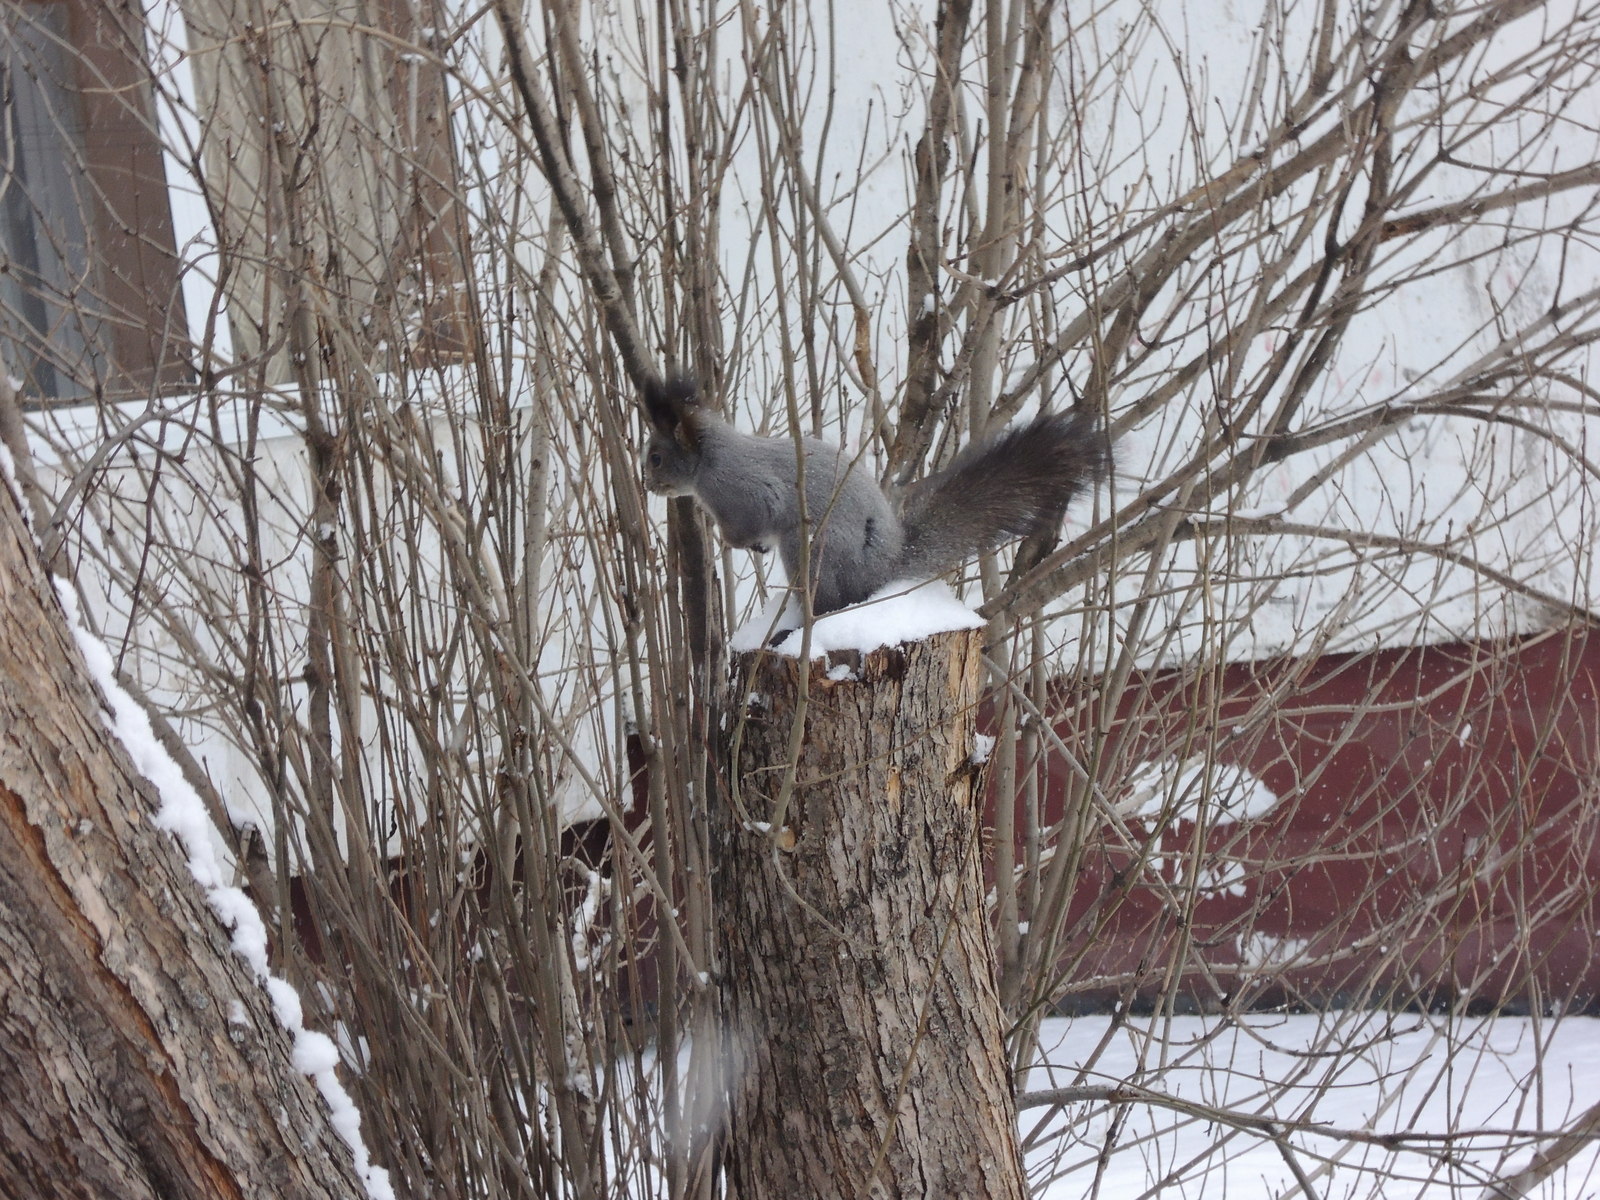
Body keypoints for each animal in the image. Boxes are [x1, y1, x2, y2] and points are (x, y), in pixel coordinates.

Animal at [643, 376, 1107, 614]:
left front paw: (739, 542)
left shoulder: (743, 492)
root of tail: (883, 571)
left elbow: (748, 523)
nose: (648, 484)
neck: (711, 461)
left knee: (832, 601)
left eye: (656, 458)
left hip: (815, 550)